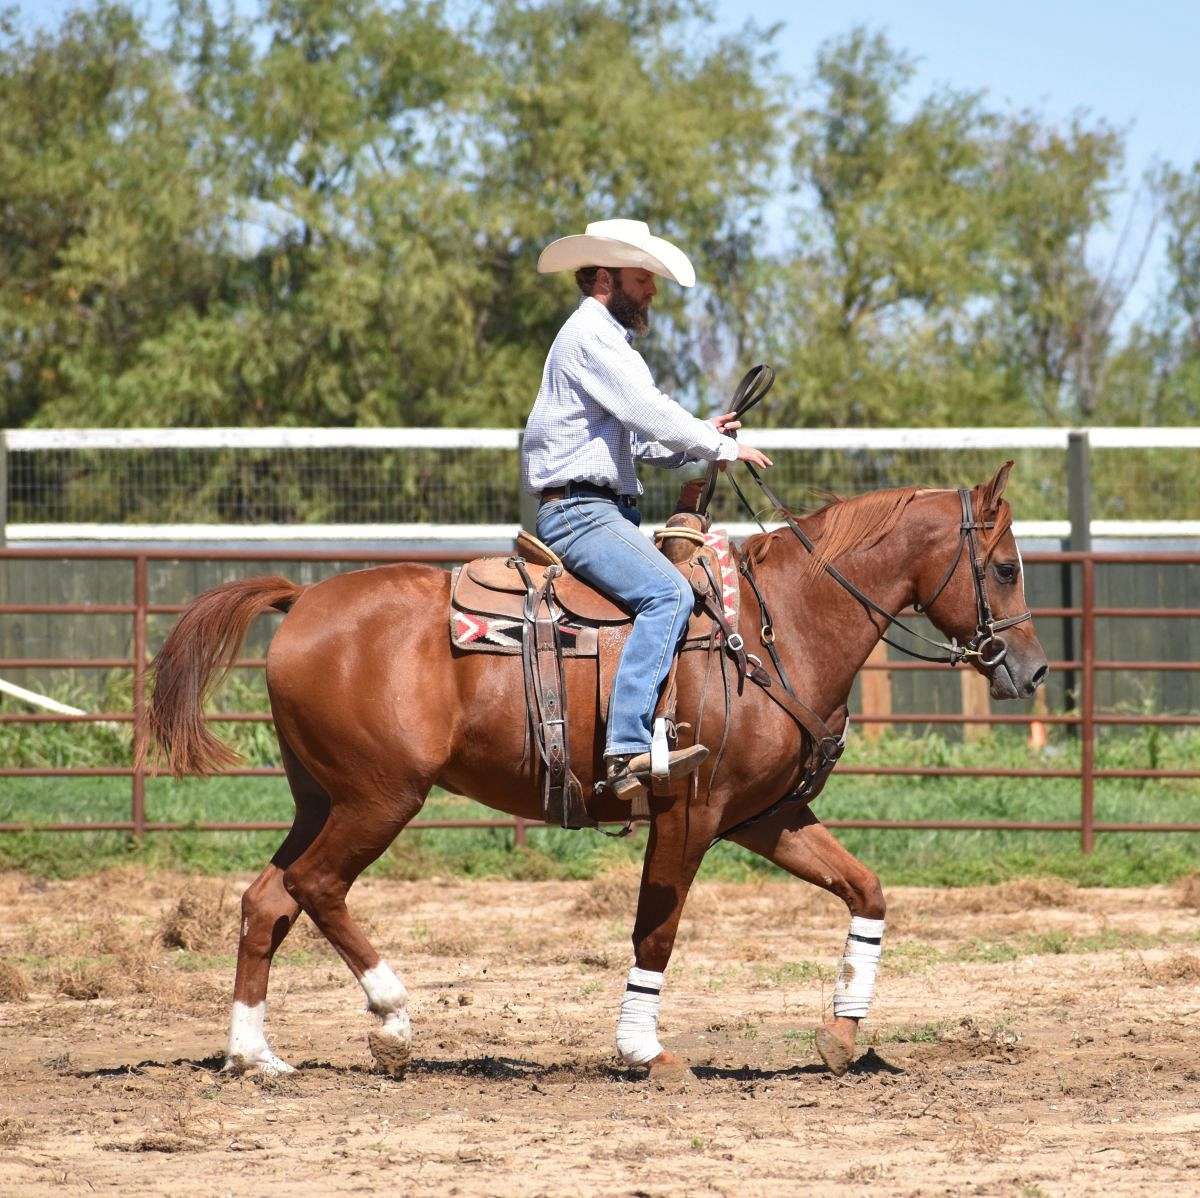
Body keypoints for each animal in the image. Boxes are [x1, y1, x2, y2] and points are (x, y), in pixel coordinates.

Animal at [147, 463, 1051, 1085]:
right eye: (1006, 567)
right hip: (380, 797)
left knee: (267, 900)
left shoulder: (766, 817)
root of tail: (301, 601)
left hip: (322, 797)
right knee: (318, 886)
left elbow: (865, 891)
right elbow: (657, 929)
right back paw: (393, 1021)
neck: (776, 626)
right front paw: (645, 1051)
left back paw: (254, 1055)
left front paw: (842, 1033)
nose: (1033, 671)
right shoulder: (690, 813)